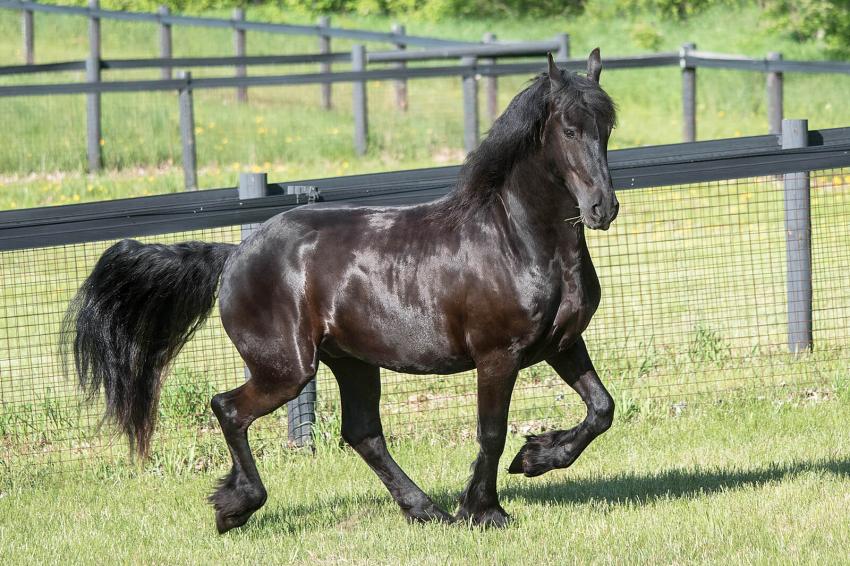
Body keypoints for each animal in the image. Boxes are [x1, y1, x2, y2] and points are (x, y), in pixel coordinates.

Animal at [63, 50, 619, 532]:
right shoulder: (497, 356)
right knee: (230, 408)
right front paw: (486, 510)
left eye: (607, 127)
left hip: (351, 360)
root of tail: (234, 256)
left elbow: (601, 409)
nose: (603, 209)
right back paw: (236, 507)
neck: (515, 241)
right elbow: (492, 432)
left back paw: (425, 510)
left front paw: (535, 457)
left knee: (362, 433)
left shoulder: (561, 344)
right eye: (569, 129)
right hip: (288, 369)